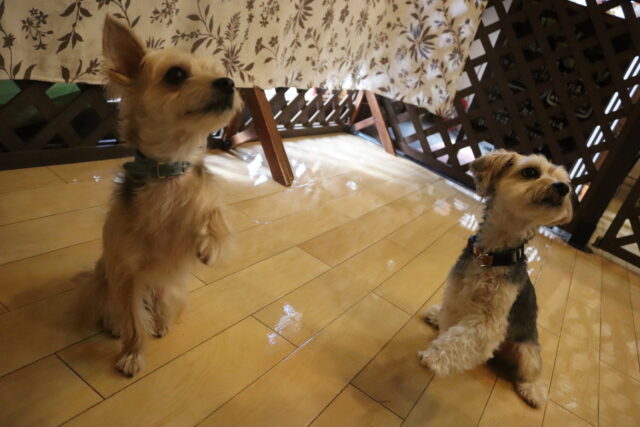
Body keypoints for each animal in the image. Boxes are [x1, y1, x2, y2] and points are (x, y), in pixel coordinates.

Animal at [86, 15, 242, 377]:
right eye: (176, 75)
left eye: (219, 71)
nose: (229, 83)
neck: (168, 172)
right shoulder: (127, 273)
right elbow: (133, 322)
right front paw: (132, 354)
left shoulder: (204, 209)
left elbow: (217, 212)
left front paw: (210, 244)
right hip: (105, 284)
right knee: (118, 310)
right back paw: (115, 325)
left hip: (170, 290)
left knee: (160, 305)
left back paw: (160, 321)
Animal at [418, 150, 573, 407]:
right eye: (530, 172)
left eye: (565, 182)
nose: (563, 188)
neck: (491, 256)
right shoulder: (456, 294)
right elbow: (452, 324)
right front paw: (441, 327)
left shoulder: (490, 320)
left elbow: (463, 338)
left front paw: (434, 357)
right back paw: (435, 316)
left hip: (527, 351)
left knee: (533, 372)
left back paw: (534, 392)